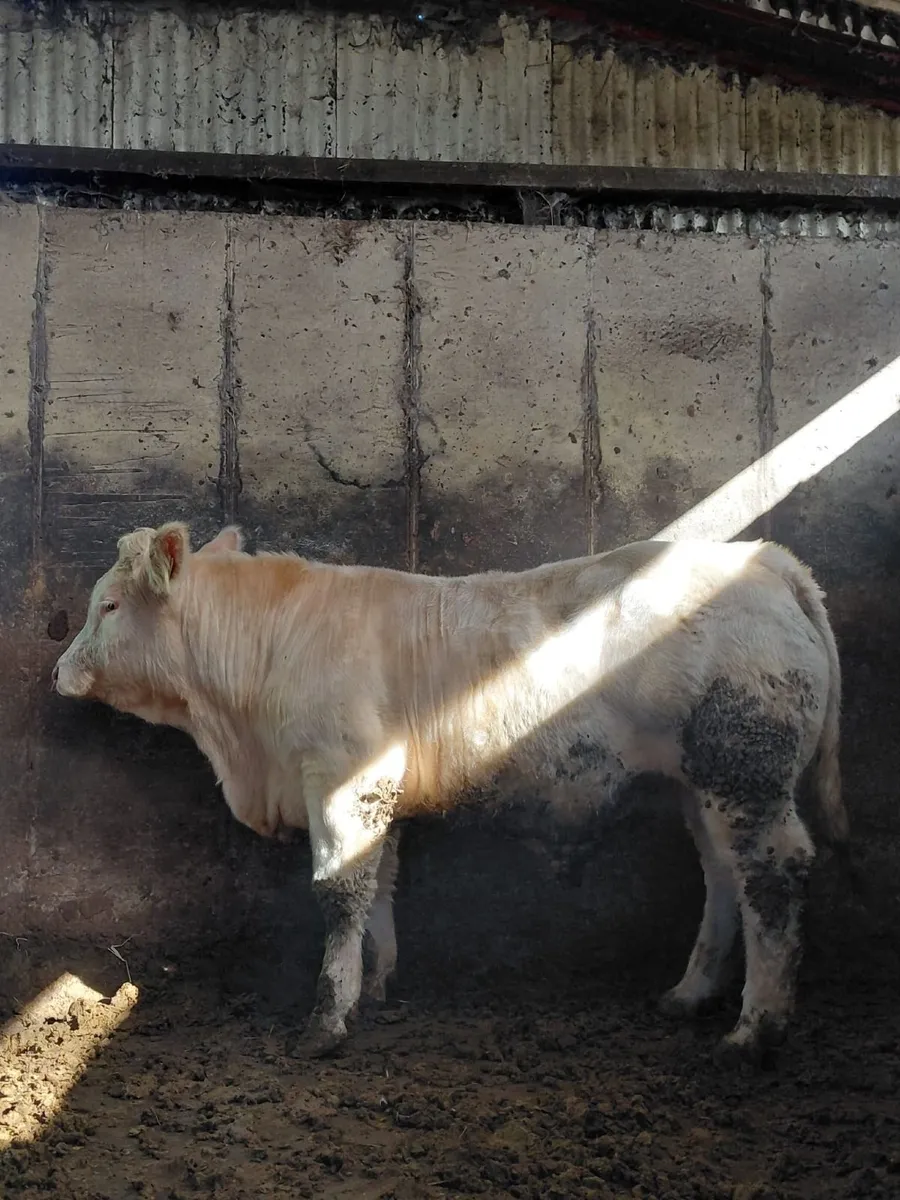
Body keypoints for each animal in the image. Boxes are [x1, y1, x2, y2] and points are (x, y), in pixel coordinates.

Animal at [52, 521, 847, 1065]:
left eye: (110, 605)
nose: (59, 669)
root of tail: (764, 560)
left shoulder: (340, 776)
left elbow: (339, 890)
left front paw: (326, 1020)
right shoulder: (376, 793)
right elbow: (378, 881)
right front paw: (376, 985)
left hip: (746, 772)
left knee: (772, 875)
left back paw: (755, 1028)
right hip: (703, 783)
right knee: (724, 875)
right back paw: (690, 995)